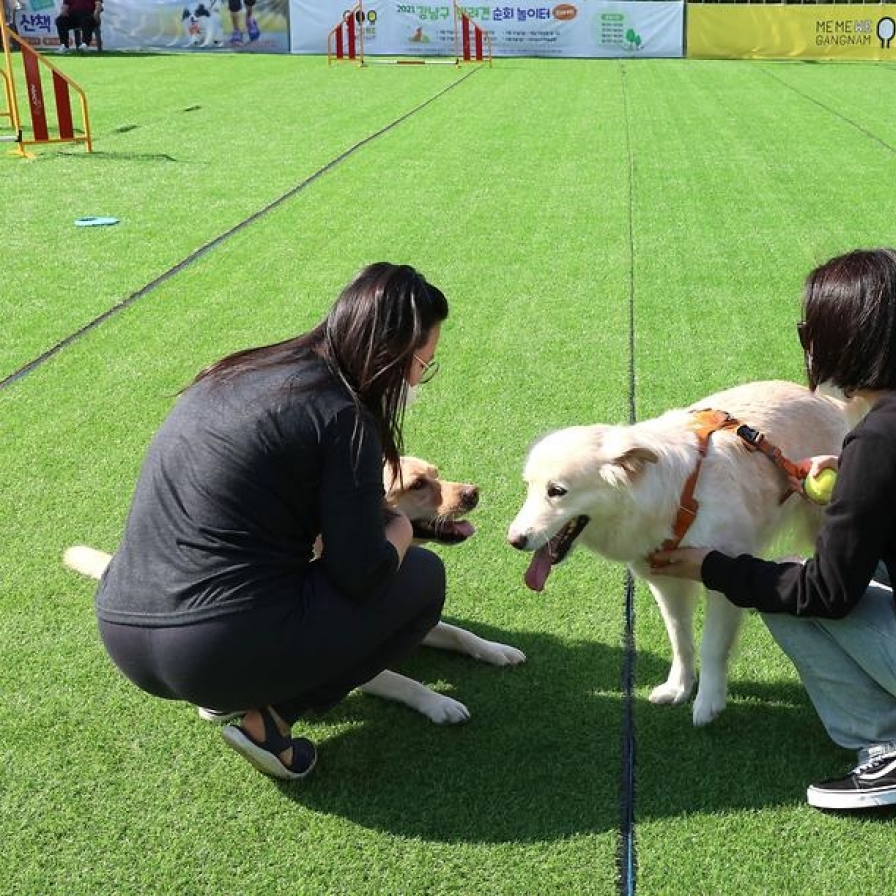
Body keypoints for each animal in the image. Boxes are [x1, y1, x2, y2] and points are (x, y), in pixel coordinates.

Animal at [63, 458, 524, 724]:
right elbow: (404, 681)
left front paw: (496, 650)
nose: (473, 492)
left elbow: (461, 634)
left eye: (437, 474)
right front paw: (439, 704)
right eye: (416, 486)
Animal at [508, 382, 856, 724]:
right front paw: (679, 688)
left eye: (557, 491)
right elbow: (680, 640)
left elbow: (711, 646)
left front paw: (708, 703)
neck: (677, 499)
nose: (513, 540)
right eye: (529, 487)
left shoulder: (722, 580)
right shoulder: (666, 583)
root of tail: (830, 402)